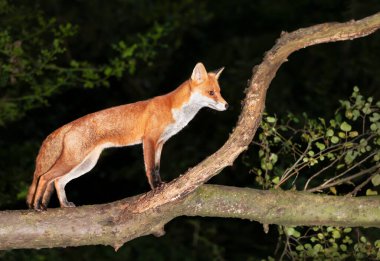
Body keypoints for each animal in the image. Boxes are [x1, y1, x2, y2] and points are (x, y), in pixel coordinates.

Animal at [27, 62, 229, 210]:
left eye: (220, 92)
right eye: (211, 93)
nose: (227, 105)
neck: (176, 110)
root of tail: (68, 125)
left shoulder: (161, 142)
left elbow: (157, 167)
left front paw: (161, 184)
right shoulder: (149, 139)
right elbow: (150, 169)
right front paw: (156, 189)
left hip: (86, 164)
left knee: (58, 181)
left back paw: (63, 205)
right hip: (73, 160)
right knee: (45, 177)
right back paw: (37, 206)